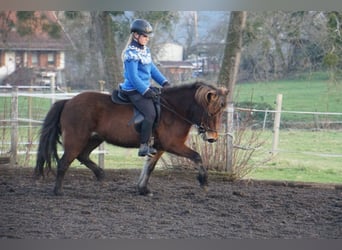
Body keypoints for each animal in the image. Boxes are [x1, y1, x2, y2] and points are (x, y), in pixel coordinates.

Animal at [34, 81, 228, 195]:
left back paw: (101, 176)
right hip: (76, 140)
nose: (212, 138)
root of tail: (68, 101)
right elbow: (197, 156)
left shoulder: (159, 147)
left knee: (83, 156)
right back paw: (58, 191)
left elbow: (149, 167)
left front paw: (143, 189)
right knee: (64, 162)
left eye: (222, 112)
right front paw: (204, 182)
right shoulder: (173, 144)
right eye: (211, 112)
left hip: (94, 139)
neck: (173, 110)